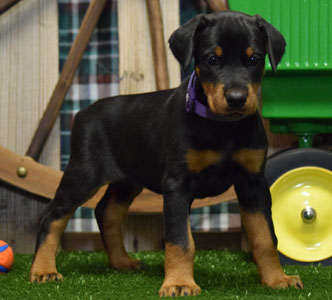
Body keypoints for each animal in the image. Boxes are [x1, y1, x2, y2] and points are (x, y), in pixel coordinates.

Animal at [30, 11, 304, 296]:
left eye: (254, 59)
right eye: (212, 59)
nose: (237, 98)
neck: (223, 128)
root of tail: (83, 113)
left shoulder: (253, 182)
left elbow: (265, 236)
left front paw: (277, 279)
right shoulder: (177, 183)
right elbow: (180, 239)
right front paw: (180, 283)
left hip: (127, 181)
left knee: (107, 212)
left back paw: (122, 262)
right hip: (84, 174)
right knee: (52, 215)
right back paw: (43, 270)